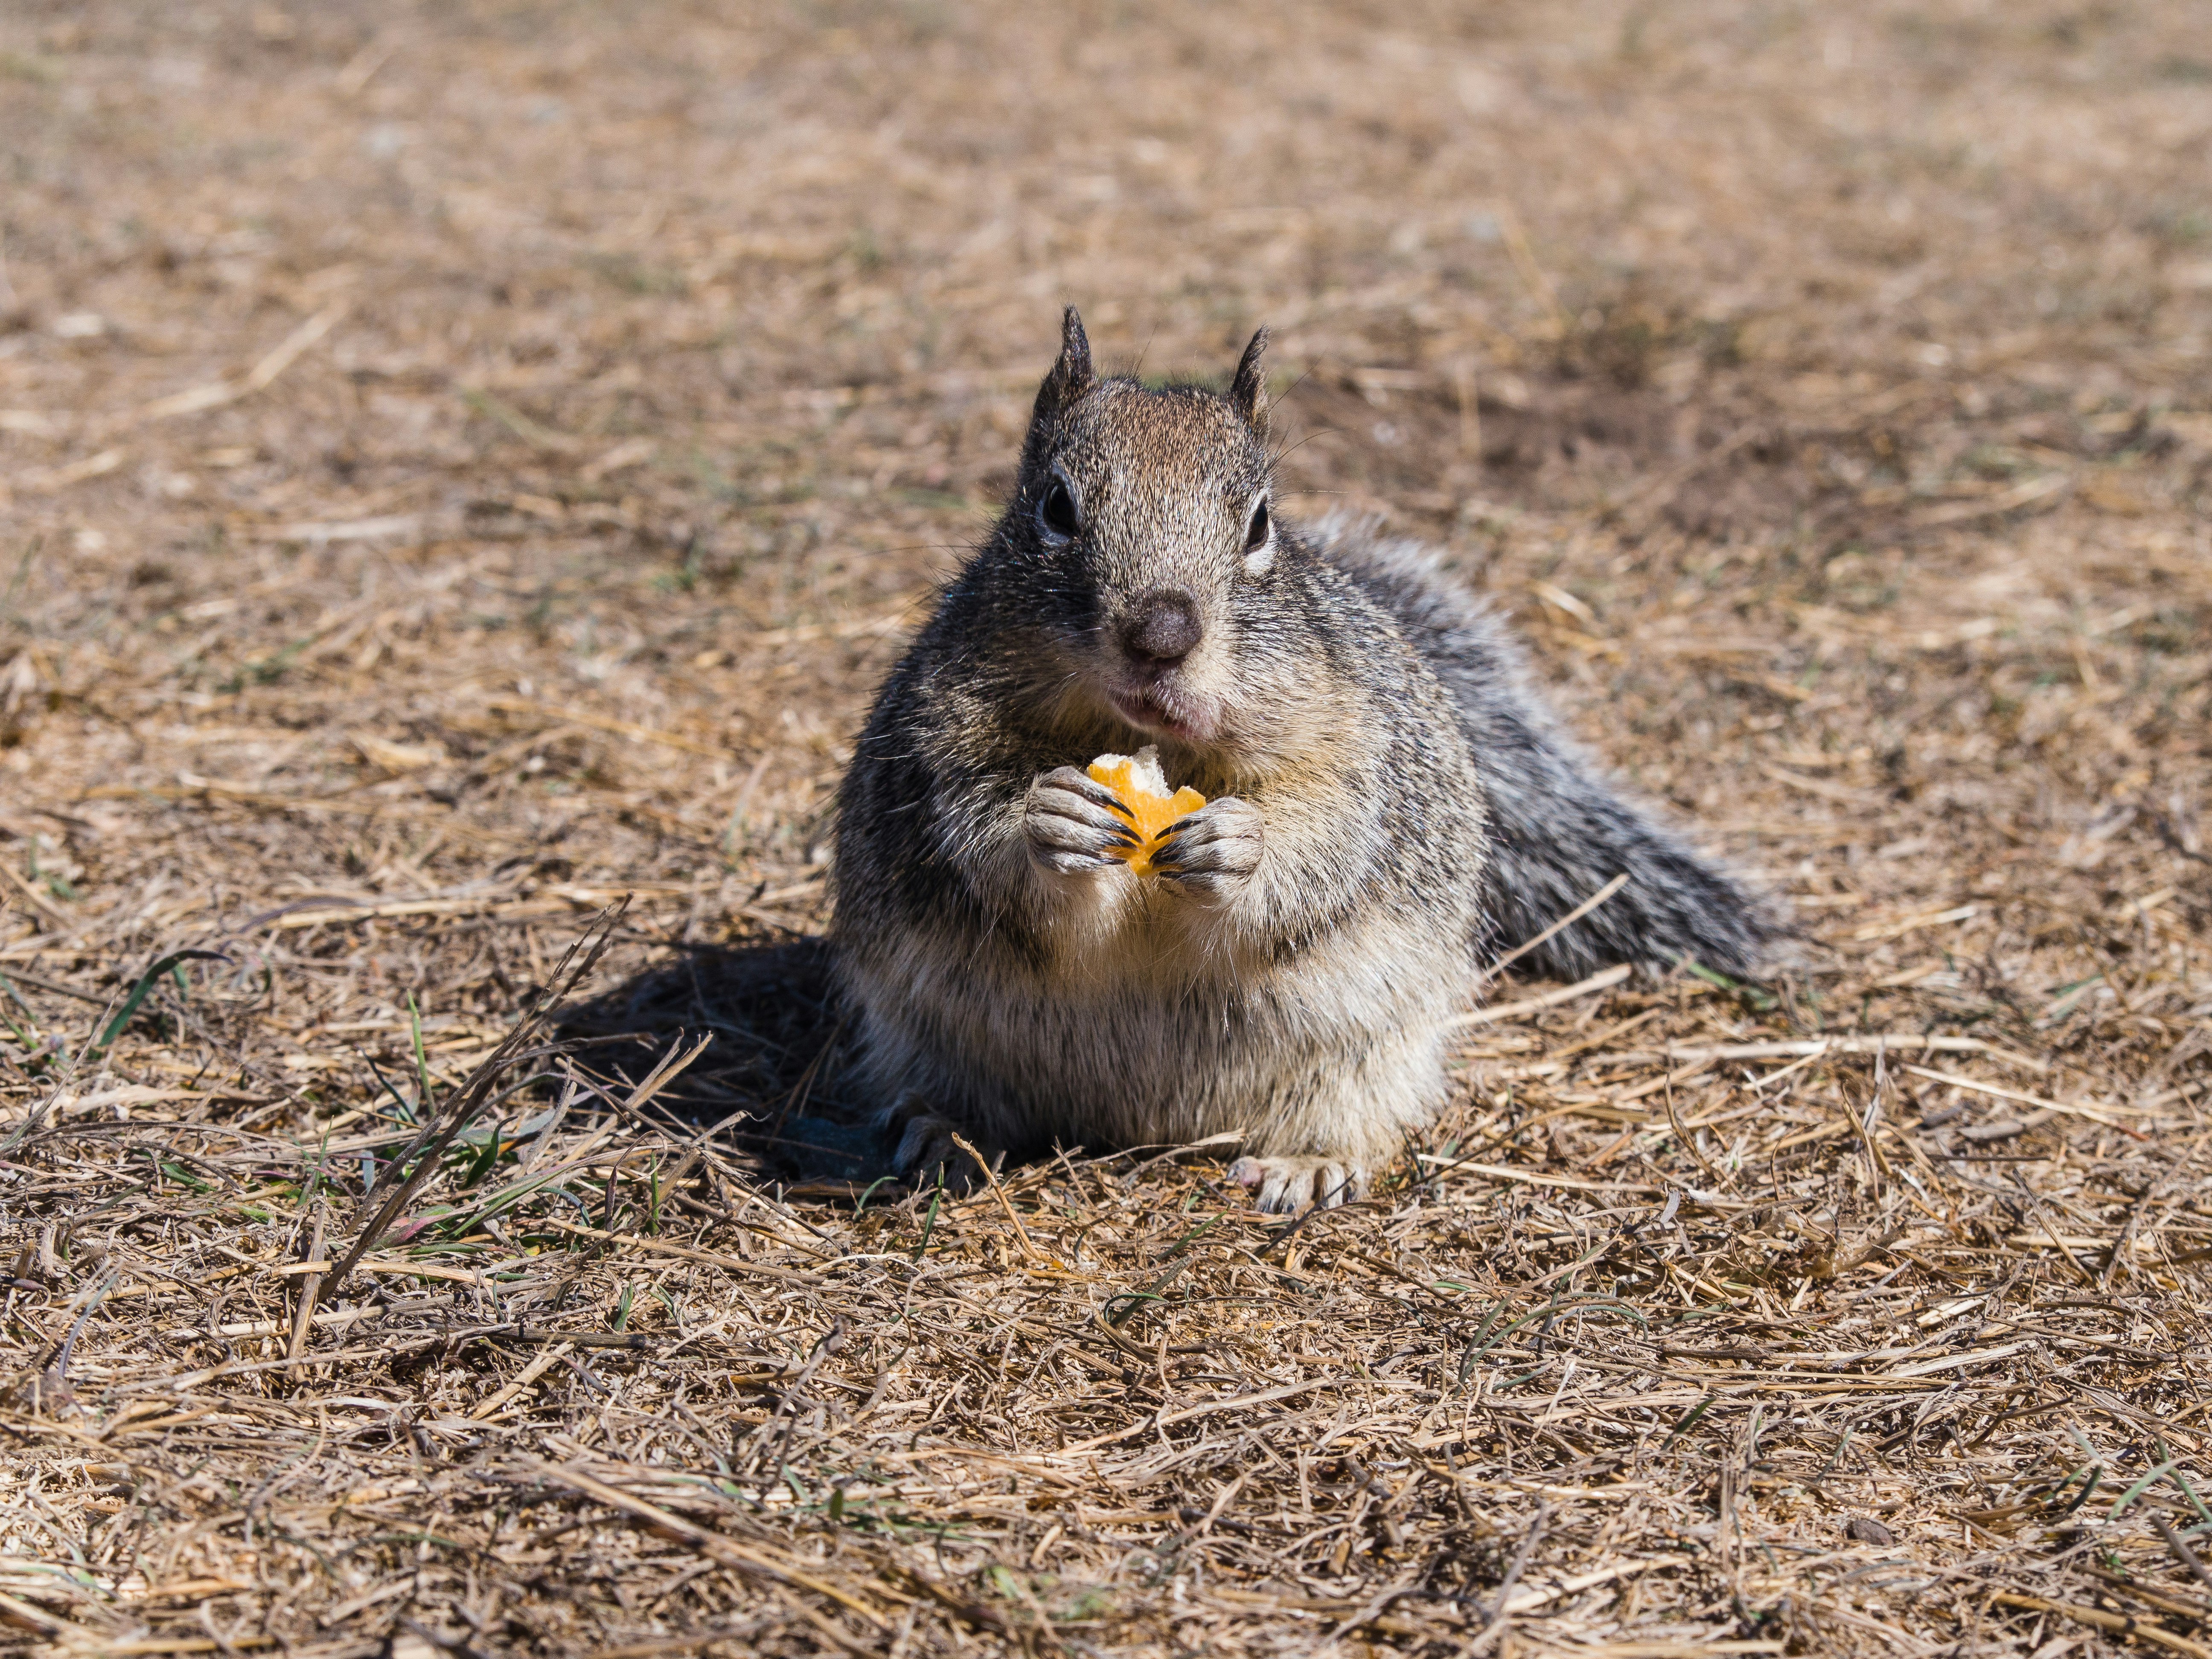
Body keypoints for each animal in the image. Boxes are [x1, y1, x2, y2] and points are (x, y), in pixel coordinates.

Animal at [830, 309, 1779, 1211]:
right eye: (1055, 507)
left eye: (1260, 524)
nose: (1161, 636)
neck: (1155, 742)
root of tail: (1137, 1126)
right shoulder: (942, 730)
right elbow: (978, 833)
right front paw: (1050, 821)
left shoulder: (1350, 741)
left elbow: (1324, 840)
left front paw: (1240, 848)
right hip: (923, 1029)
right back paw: (945, 1131)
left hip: (1371, 1048)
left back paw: (1309, 1164)